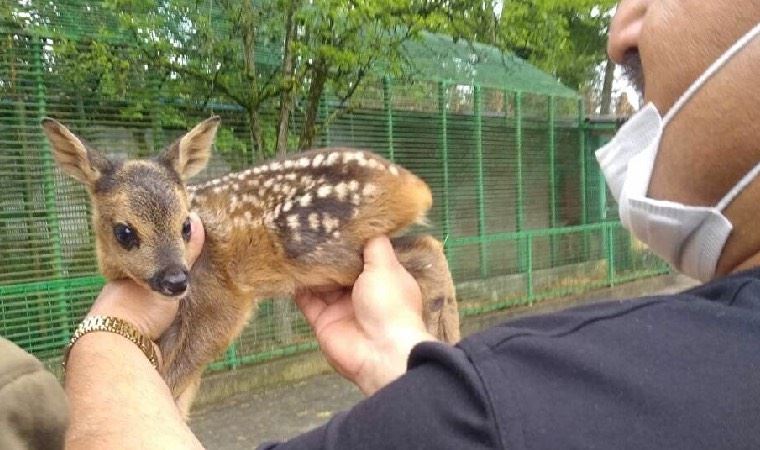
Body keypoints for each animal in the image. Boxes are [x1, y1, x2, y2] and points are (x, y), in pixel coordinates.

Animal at [44, 116, 460, 414]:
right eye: (124, 232)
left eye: (185, 225)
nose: (176, 280)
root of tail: (411, 184)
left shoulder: (223, 298)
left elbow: (172, 382)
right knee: (425, 249)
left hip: (319, 248)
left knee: (426, 248)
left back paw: (444, 336)